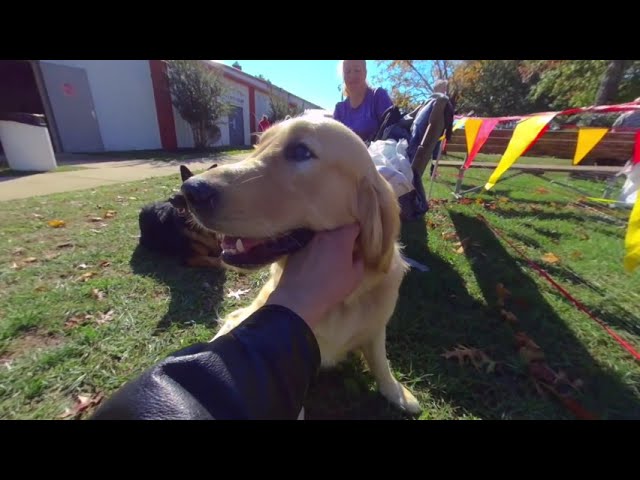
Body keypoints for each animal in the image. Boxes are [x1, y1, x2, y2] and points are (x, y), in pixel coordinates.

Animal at [181, 114, 420, 414]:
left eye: (301, 152)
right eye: (258, 145)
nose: (190, 190)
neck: (340, 302)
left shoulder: (376, 328)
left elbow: (380, 361)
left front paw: (396, 392)